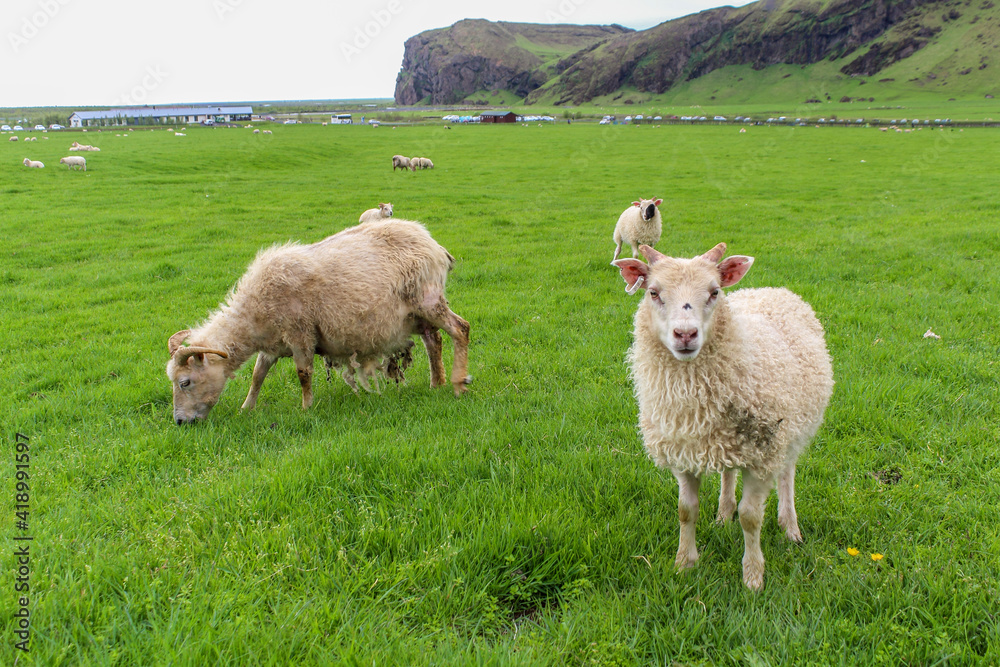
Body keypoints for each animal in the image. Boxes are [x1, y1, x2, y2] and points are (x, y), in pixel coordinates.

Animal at [166, 218, 471, 424]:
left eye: (185, 383)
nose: (180, 422)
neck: (254, 313)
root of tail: (433, 244)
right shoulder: (272, 344)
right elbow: (257, 375)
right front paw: (246, 408)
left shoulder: (300, 332)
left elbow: (303, 373)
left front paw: (306, 408)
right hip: (416, 315)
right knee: (434, 341)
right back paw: (436, 384)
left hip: (428, 300)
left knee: (461, 329)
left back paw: (458, 383)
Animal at [612, 242, 833, 590]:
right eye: (653, 292)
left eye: (714, 292)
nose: (685, 334)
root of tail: (772, 289)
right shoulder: (684, 451)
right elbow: (686, 511)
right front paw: (684, 564)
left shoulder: (762, 455)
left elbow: (751, 517)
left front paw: (753, 577)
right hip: (726, 441)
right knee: (728, 473)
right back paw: (723, 514)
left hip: (791, 431)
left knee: (787, 473)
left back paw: (790, 528)